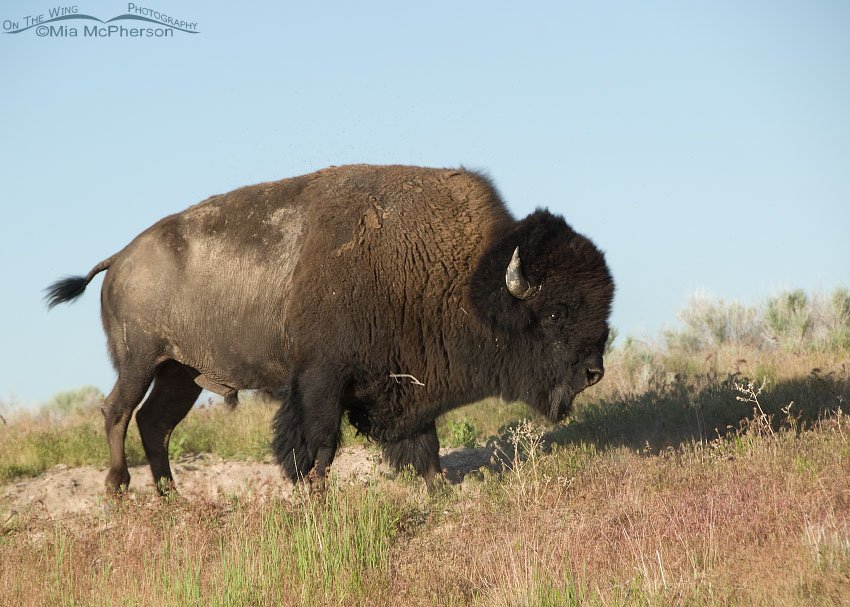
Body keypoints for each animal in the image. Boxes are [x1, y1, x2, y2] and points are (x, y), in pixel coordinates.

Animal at [46, 165, 614, 492]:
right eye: (555, 313)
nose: (593, 372)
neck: (468, 280)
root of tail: (120, 257)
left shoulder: (405, 387)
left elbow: (423, 443)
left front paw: (438, 487)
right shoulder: (321, 379)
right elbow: (317, 442)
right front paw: (314, 494)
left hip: (180, 373)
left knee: (155, 423)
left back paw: (170, 496)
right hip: (141, 360)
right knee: (118, 411)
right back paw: (118, 489)